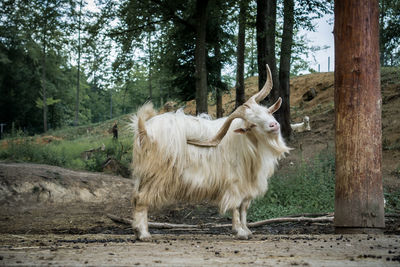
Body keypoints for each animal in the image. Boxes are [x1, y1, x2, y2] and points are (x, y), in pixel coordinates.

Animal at [131, 66, 290, 242]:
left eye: (265, 112)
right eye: (252, 124)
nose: (273, 125)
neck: (247, 142)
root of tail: (144, 130)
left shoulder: (247, 184)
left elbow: (244, 207)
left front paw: (247, 230)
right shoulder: (234, 182)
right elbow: (235, 206)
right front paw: (239, 232)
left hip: (143, 175)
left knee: (136, 198)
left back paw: (138, 231)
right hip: (156, 175)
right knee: (141, 199)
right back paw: (144, 234)